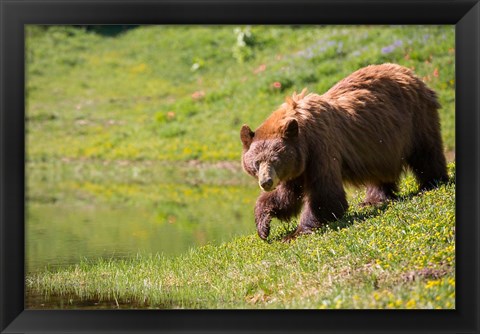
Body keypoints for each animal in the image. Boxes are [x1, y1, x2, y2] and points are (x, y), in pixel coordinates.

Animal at [240, 62, 450, 240]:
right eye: (256, 162)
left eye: (275, 160)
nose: (266, 182)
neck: (303, 136)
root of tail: (408, 72)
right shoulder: (299, 165)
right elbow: (288, 195)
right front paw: (263, 224)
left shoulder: (321, 148)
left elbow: (325, 193)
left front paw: (297, 232)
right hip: (381, 143)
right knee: (381, 171)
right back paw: (374, 199)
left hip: (415, 119)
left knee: (426, 153)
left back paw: (432, 183)